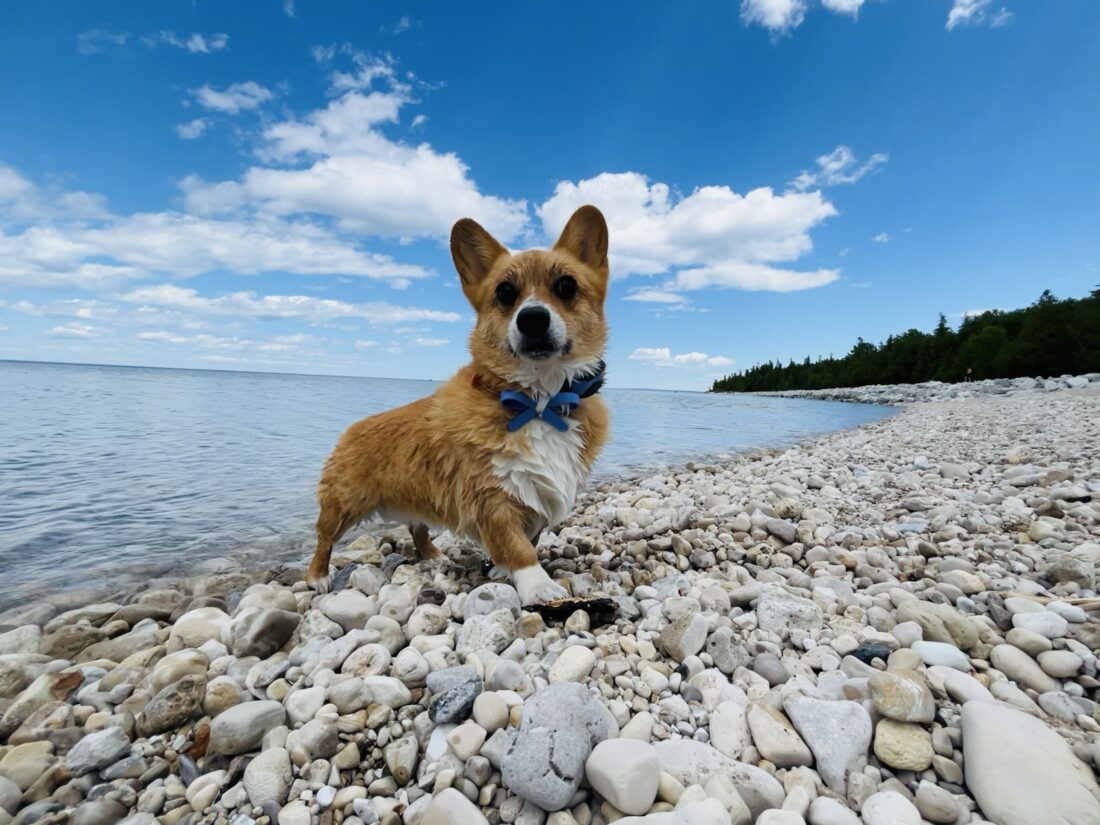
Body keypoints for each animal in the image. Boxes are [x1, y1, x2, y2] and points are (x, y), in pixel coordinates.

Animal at [308, 206, 611, 607]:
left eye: (566, 286)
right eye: (505, 292)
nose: (532, 318)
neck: (538, 400)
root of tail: (351, 428)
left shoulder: (540, 496)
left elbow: (528, 538)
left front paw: (499, 571)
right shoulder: (491, 497)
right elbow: (518, 547)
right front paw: (537, 585)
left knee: (417, 528)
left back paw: (433, 556)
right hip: (342, 505)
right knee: (324, 540)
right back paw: (317, 578)